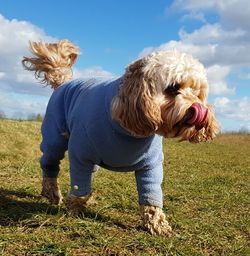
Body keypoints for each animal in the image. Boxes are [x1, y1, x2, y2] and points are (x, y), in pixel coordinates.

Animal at [22, 40, 220, 236]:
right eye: (173, 88)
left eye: (197, 92)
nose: (199, 109)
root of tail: (65, 82)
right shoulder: (80, 155)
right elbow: (79, 186)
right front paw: (75, 209)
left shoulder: (151, 165)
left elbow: (151, 196)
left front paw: (157, 224)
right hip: (54, 139)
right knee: (49, 165)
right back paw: (52, 193)